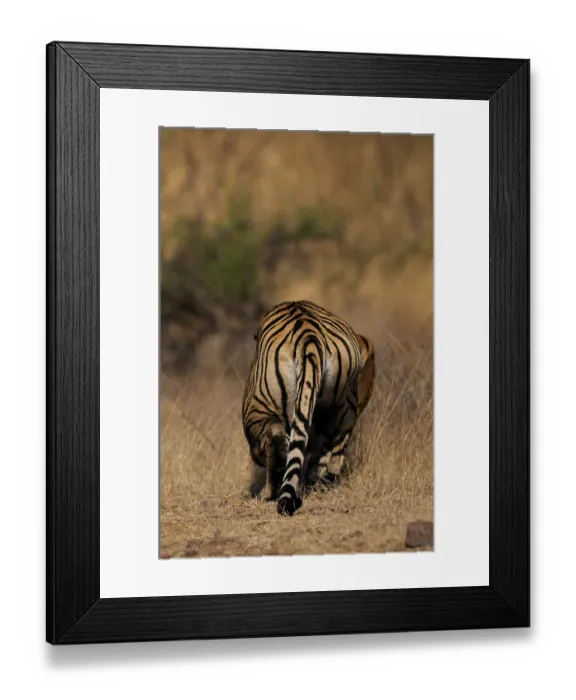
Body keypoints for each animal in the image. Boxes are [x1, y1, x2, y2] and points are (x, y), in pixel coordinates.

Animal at [242, 300, 376, 516]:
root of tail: (309, 335)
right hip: (343, 409)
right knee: (334, 457)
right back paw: (318, 485)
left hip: (259, 408)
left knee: (276, 439)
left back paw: (269, 493)